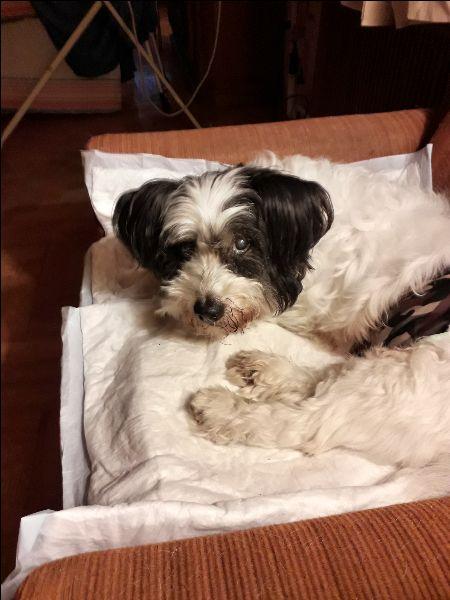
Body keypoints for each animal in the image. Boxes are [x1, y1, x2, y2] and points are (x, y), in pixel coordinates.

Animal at [113, 153, 450, 498]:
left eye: (242, 243)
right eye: (184, 250)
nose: (207, 309)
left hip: (403, 376)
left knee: (307, 419)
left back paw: (222, 408)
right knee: (323, 379)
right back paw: (264, 370)